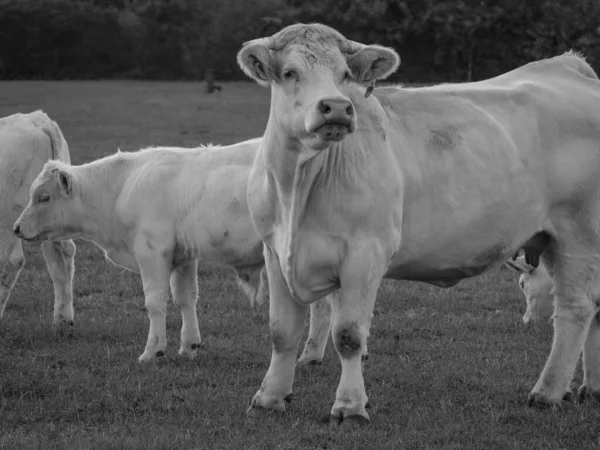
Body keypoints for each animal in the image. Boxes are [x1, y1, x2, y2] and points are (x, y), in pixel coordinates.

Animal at [238, 22, 600, 426]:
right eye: (289, 73)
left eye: (345, 75)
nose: (338, 107)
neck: (298, 188)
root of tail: (568, 66)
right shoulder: (274, 252)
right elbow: (281, 332)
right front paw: (269, 397)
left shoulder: (365, 254)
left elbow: (348, 335)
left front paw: (350, 406)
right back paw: (590, 388)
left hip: (579, 231)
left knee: (575, 309)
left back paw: (547, 392)